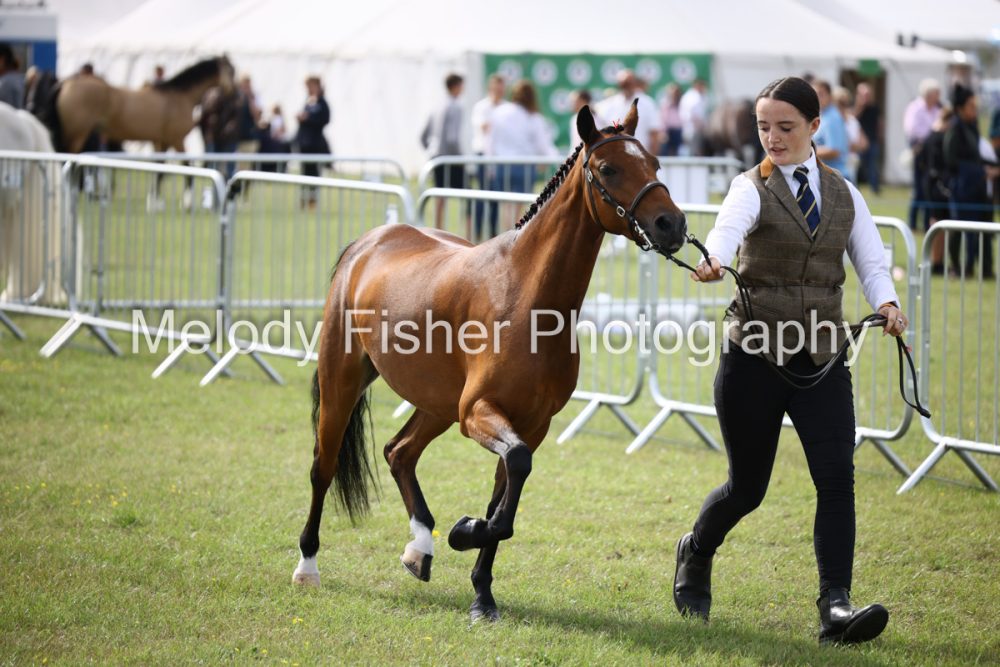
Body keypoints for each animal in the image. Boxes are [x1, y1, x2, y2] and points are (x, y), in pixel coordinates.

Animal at [48, 55, 235, 153]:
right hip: (76, 134)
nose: (234, 92)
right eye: (232, 71)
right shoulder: (177, 140)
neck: (181, 96)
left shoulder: (160, 142)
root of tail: (65, 83)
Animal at [293, 101, 688, 622]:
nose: (672, 225)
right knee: (323, 467)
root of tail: (369, 243)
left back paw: (420, 548)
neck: (526, 295)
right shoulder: (479, 413)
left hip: (437, 406)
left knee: (400, 453)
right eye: (608, 168)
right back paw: (308, 567)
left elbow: (505, 499)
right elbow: (511, 479)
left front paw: (481, 590)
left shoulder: (529, 423)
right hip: (344, 380)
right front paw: (465, 532)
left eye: (656, 165)